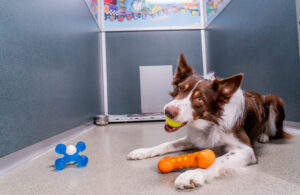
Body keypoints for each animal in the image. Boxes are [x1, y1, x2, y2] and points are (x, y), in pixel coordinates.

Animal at [127, 53, 290, 189]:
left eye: (199, 99)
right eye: (180, 88)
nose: (168, 111)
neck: (211, 121)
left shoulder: (246, 150)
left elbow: (217, 160)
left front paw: (193, 174)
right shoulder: (195, 138)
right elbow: (167, 144)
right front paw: (142, 151)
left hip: (274, 100)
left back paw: (264, 136)